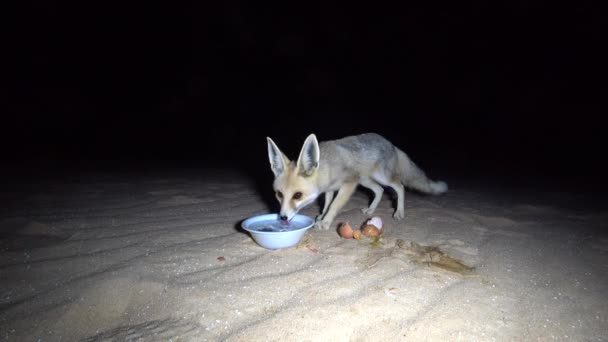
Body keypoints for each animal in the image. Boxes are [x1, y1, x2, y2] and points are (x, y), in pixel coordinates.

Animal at [266, 132, 446, 231]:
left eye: (297, 195)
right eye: (279, 194)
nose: (282, 217)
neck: (328, 167)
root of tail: (390, 143)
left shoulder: (349, 184)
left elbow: (334, 206)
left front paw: (326, 222)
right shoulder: (329, 189)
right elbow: (326, 204)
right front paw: (322, 216)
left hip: (381, 177)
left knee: (399, 187)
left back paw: (399, 212)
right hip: (366, 181)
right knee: (379, 190)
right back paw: (370, 210)